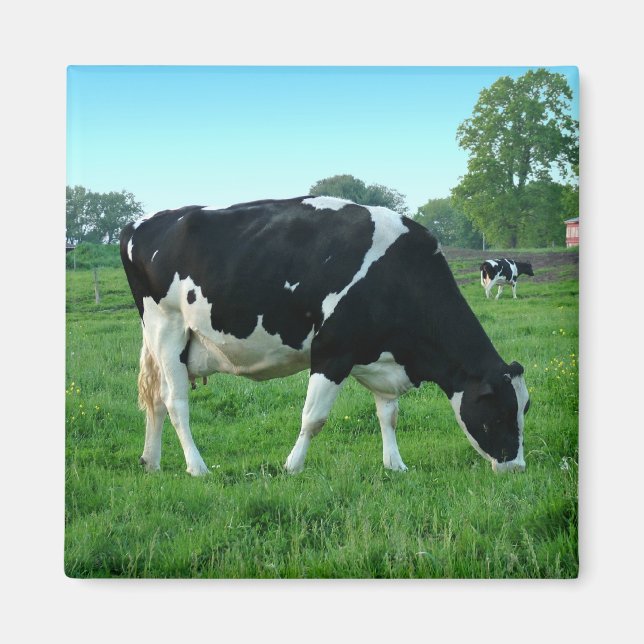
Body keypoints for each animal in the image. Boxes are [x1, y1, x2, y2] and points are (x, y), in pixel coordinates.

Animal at [120, 196, 529, 477]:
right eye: (501, 411)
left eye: (524, 408)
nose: (518, 468)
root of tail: (143, 222)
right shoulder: (332, 352)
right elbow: (313, 418)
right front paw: (292, 466)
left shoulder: (381, 355)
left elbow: (389, 415)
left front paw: (395, 465)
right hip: (167, 328)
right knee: (176, 402)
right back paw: (197, 467)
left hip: (161, 342)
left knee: (155, 399)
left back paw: (151, 462)